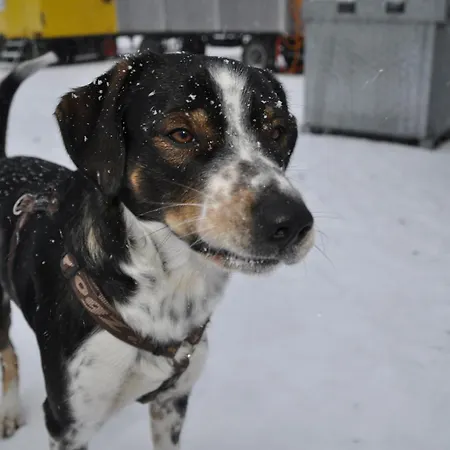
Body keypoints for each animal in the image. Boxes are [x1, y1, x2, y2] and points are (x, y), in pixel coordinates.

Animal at [0, 51, 314, 449]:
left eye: (276, 132)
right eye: (180, 133)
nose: (291, 222)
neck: (167, 292)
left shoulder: (172, 400)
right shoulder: (67, 423)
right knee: (8, 353)